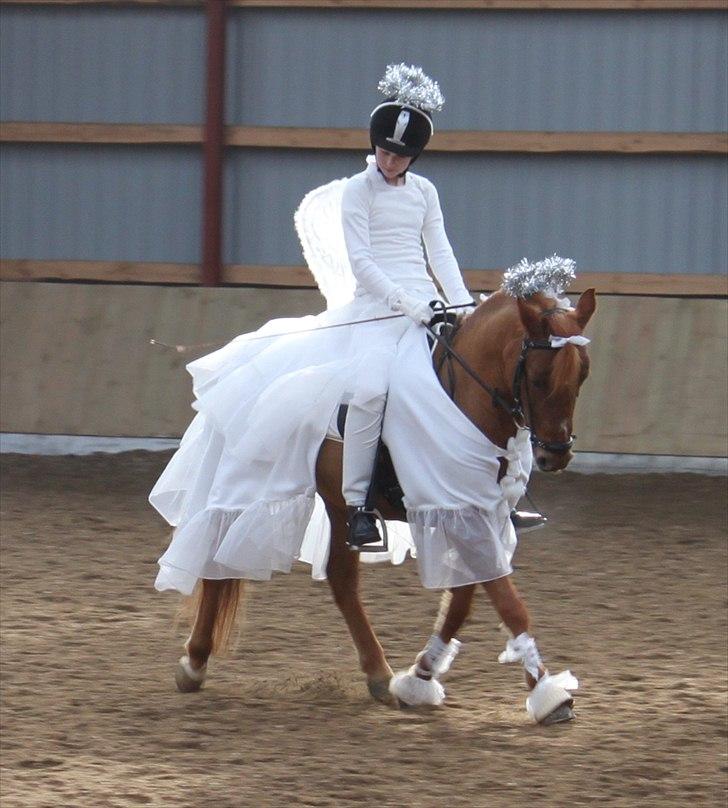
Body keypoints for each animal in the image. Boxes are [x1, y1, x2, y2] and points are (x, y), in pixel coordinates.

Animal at [173, 286, 596, 724]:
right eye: (538, 377)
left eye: (582, 373)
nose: (555, 456)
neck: (462, 400)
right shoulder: (457, 509)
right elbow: (509, 604)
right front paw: (549, 695)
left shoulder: (475, 514)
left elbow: (463, 602)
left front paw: (420, 676)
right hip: (248, 483)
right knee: (215, 559)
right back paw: (194, 663)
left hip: (338, 504)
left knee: (341, 580)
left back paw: (379, 675)